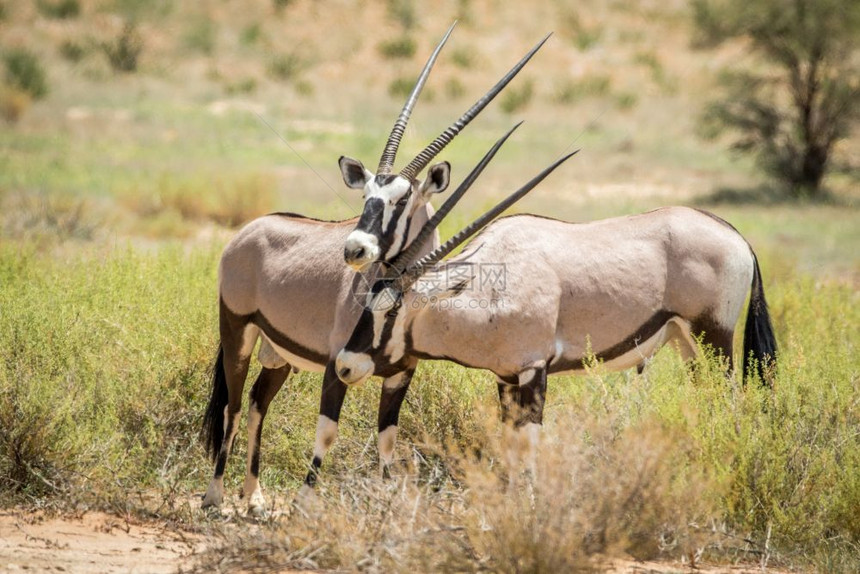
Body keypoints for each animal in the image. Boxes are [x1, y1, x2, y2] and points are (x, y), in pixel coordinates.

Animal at [202, 25, 552, 512]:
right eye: (366, 194)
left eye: (401, 200)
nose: (354, 249)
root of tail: (247, 231)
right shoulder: (337, 365)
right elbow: (327, 432)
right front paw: (306, 504)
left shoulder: (400, 375)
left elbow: (388, 439)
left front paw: (390, 502)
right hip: (238, 331)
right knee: (232, 405)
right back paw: (214, 495)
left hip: (279, 354)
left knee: (256, 402)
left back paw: (253, 497)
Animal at [334, 195, 780, 468]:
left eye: (392, 309)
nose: (345, 366)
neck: (488, 284)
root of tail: (737, 238)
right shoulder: (506, 376)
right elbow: (510, 444)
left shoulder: (535, 369)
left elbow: (529, 445)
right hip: (689, 344)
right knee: (709, 398)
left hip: (715, 337)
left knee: (729, 400)